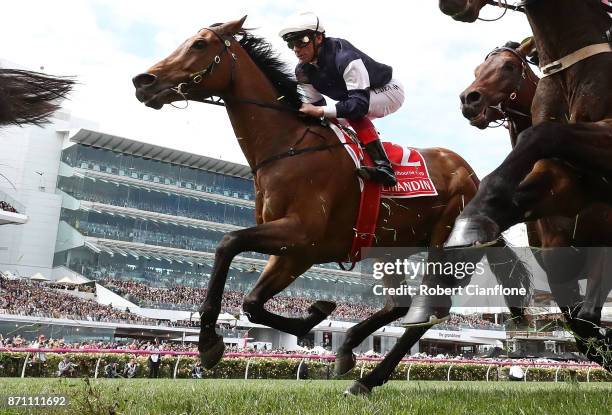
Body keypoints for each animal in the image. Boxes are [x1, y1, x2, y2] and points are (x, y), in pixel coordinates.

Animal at [133, 17, 532, 394]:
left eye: (199, 44)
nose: (143, 81)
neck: (288, 145)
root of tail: (472, 175)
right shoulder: (296, 250)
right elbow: (252, 302)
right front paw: (313, 315)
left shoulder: (301, 236)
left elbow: (227, 243)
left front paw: (207, 342)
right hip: (388, 248)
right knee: (400, 306)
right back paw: (349, 348)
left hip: (446, 244)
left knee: (429, 309)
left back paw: (369, 378)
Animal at [462, 38, 608, 370]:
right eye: (476, 69)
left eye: (508, 66)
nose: (469, 99)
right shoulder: (556, 264)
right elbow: (582, 328)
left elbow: (589, 319)